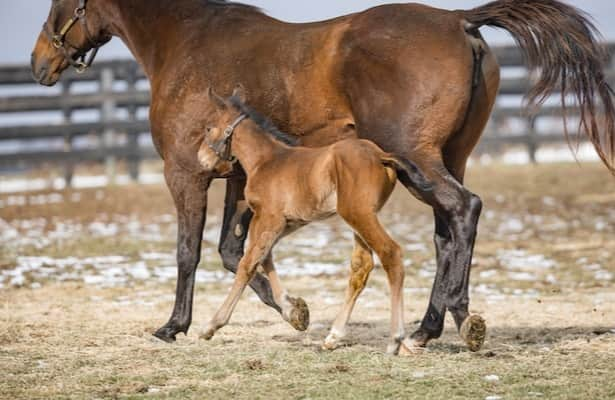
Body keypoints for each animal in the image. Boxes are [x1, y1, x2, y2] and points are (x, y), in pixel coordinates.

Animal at [32, 0, 615, 352]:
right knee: (447, 230)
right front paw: (294, 311)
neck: (184, 44)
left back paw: (443, 321)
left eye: (60, 6)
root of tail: (459, 20)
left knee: (462, 210)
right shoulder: (239, 179)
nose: (39, 65)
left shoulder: (187, 174)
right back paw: (442, 322)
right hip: (450, 156)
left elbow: (191, 253)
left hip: (418, 158)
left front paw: (174, 326)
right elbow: (237, 251)